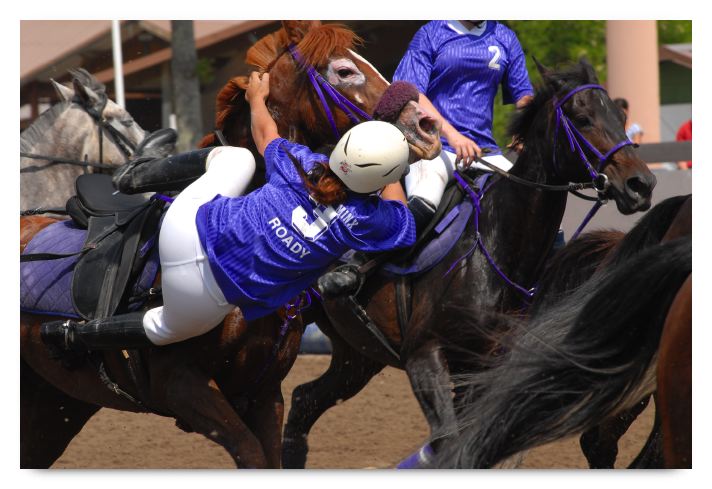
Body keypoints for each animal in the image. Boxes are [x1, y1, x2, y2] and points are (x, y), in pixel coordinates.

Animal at [281, 58, 658, 468]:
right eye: (583, 118)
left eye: (620, 117)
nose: (642, 184)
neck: (496, 255)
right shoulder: (424, 356)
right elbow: (448, 441)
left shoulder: (480, 373)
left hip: (357, 357)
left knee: (302, 402)